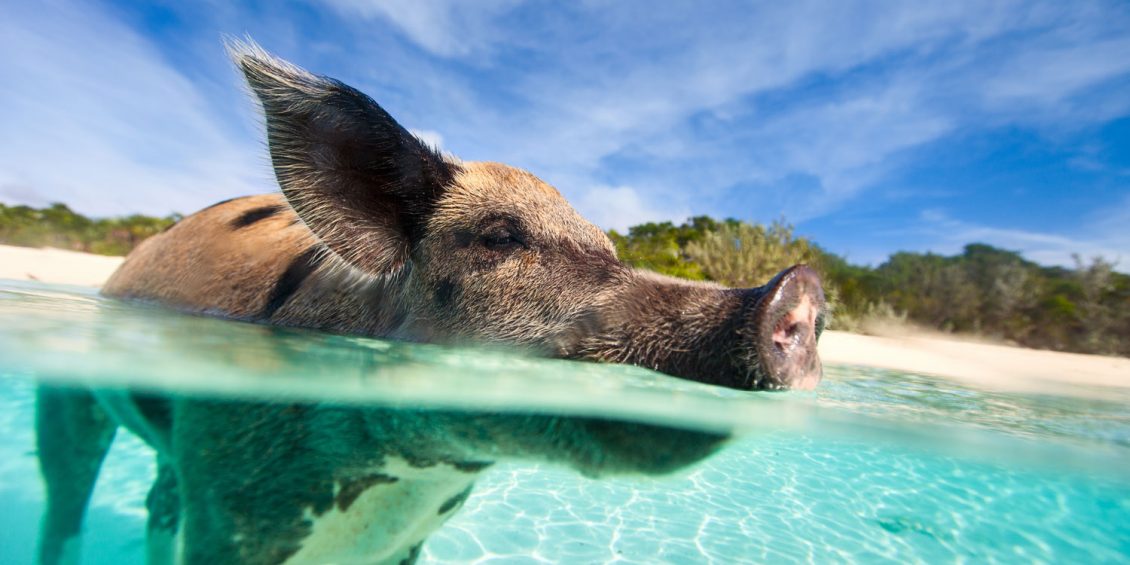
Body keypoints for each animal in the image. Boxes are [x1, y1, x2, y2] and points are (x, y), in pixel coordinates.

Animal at [35, 40, 827, 565]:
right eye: (500, 235)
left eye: (607, 248)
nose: (798, 289)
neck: (411, 477)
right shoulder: (227, 508)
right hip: (67, 399)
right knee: (66, 486)